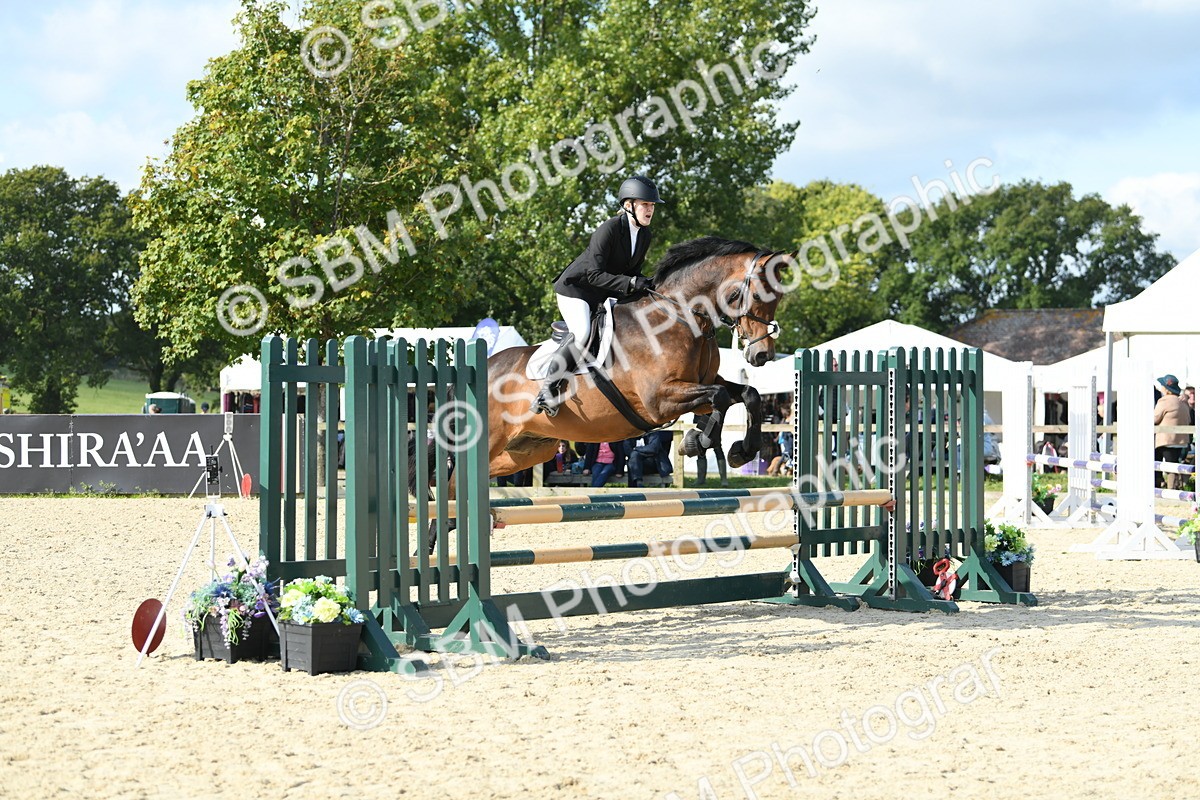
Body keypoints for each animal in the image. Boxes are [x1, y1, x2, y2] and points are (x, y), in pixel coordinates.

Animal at [486, 236, 790, 478]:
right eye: (757, 295)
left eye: (778, 298)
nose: (762, 354)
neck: (680, 316)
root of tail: (487, 366)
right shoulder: (659, 400)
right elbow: (721, 396)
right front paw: (696, 441)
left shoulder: (703, 383)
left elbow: (747, 394)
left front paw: (740, 451)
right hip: (493, 440)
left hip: (526, 449)